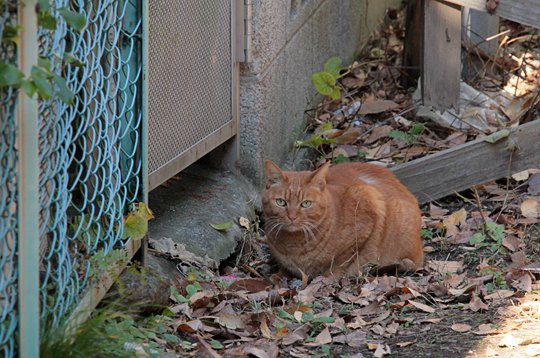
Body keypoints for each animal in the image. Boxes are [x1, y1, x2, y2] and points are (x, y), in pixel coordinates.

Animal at [260, 161, 422, 278]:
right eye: (281, 202)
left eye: (306, 204)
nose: (292, 217)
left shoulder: (367, 203)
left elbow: (340, 262)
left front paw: (326, 279)